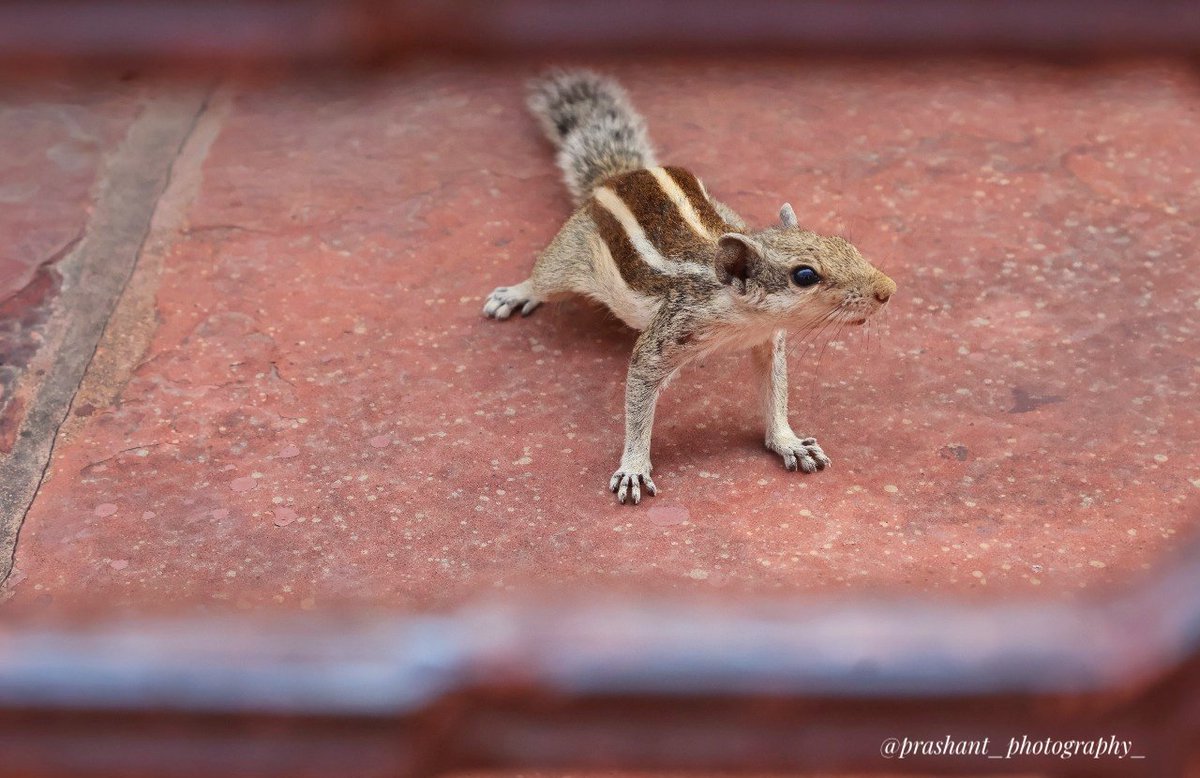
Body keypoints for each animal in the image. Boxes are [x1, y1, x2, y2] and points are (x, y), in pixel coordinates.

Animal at [485, 69, 896, 505]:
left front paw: (788, 441)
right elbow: (638, 396)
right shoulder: (666, 336)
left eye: (846, 245)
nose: (887, 290)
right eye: (805, 276)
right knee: (544, 278)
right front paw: (633, 466)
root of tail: (622, 174)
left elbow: (775, 390)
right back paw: (515, 293)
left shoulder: (769, 341)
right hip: (569, 254)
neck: (740, 316)